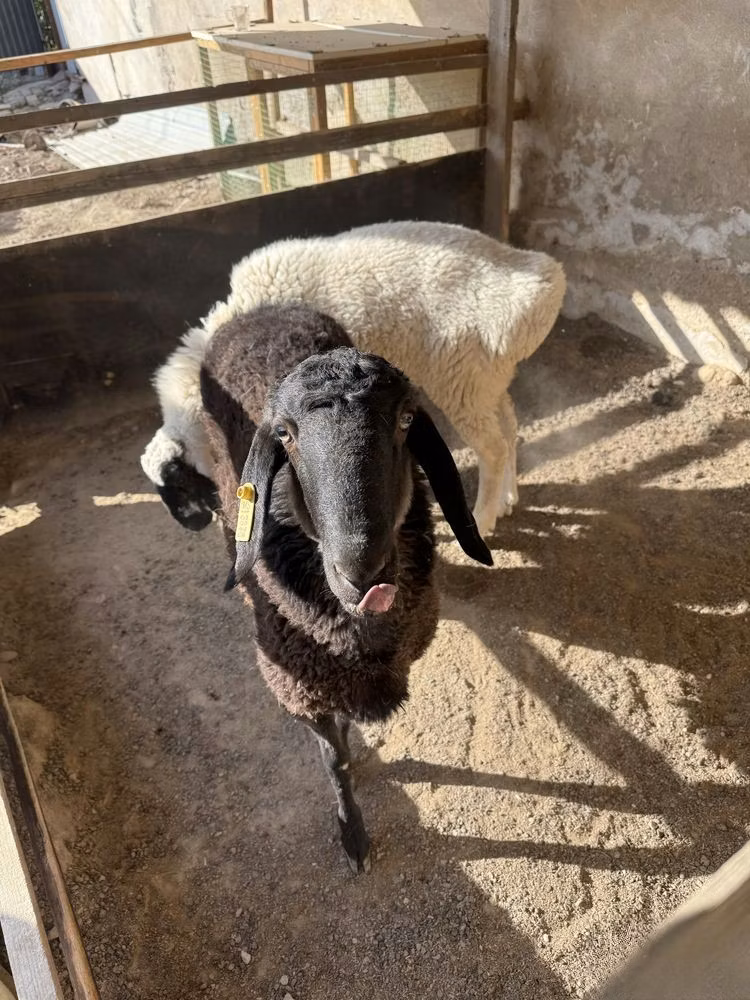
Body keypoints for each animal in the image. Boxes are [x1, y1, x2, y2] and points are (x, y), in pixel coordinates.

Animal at [141, 220, 566, 537]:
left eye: (178, 481)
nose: (192, 526)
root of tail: (534, 286)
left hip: (461, 378)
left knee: (492, 448)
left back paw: (484, 517)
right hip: (487, 378)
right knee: (510, 427)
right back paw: (509, 498)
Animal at [198, 302, 493, 872]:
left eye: (406, 419)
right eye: (286, 435)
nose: (363, 571)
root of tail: (263, 311)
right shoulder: (301, 691)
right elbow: (334, 763)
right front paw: (351, 830)